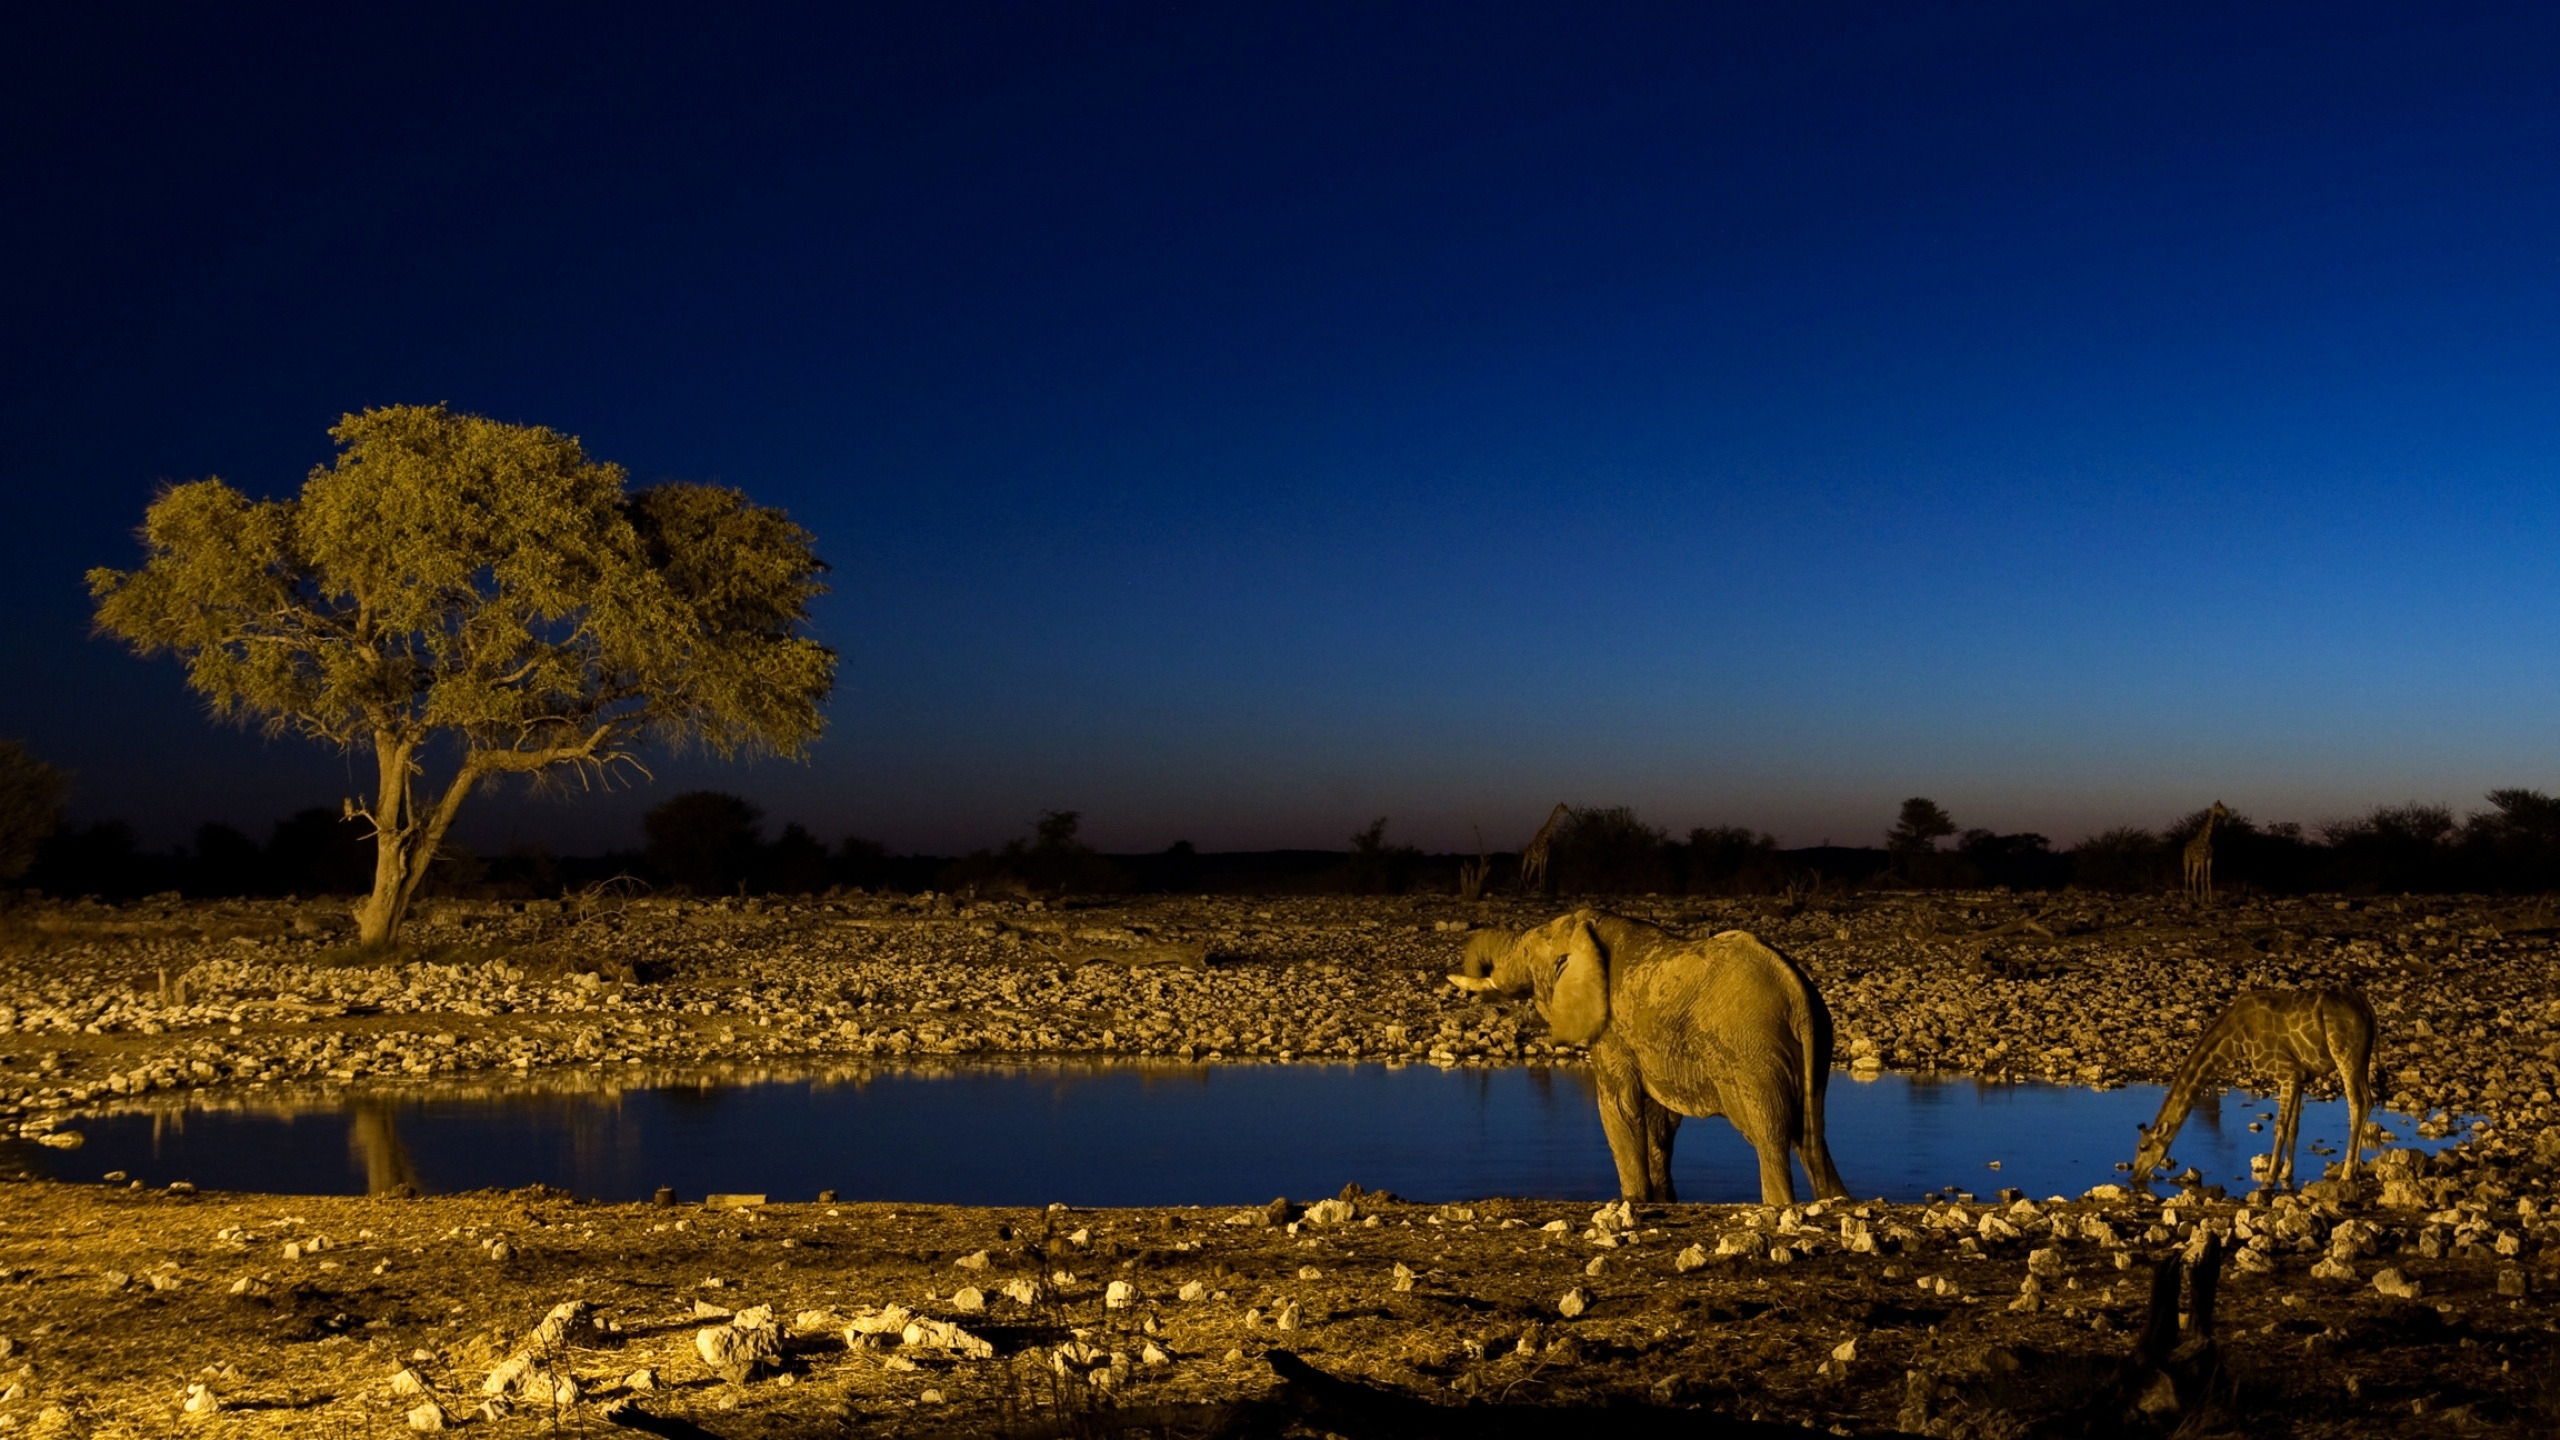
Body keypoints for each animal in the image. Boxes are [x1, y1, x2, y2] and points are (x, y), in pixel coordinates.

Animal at [1464, 907, 1843, 1199]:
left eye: (1527, 953)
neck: (1587, 928)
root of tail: (1797, 993)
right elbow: (1659, 1119)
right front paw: (1662, 1199)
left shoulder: (1612, 1031)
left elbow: (1619, 1106)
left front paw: (1634, 1200)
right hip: (1816, 1045)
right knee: (1811, 1136)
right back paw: (1835, 1200)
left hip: (1752, 1052)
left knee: (1770, 1135)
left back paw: (1779, 1204)